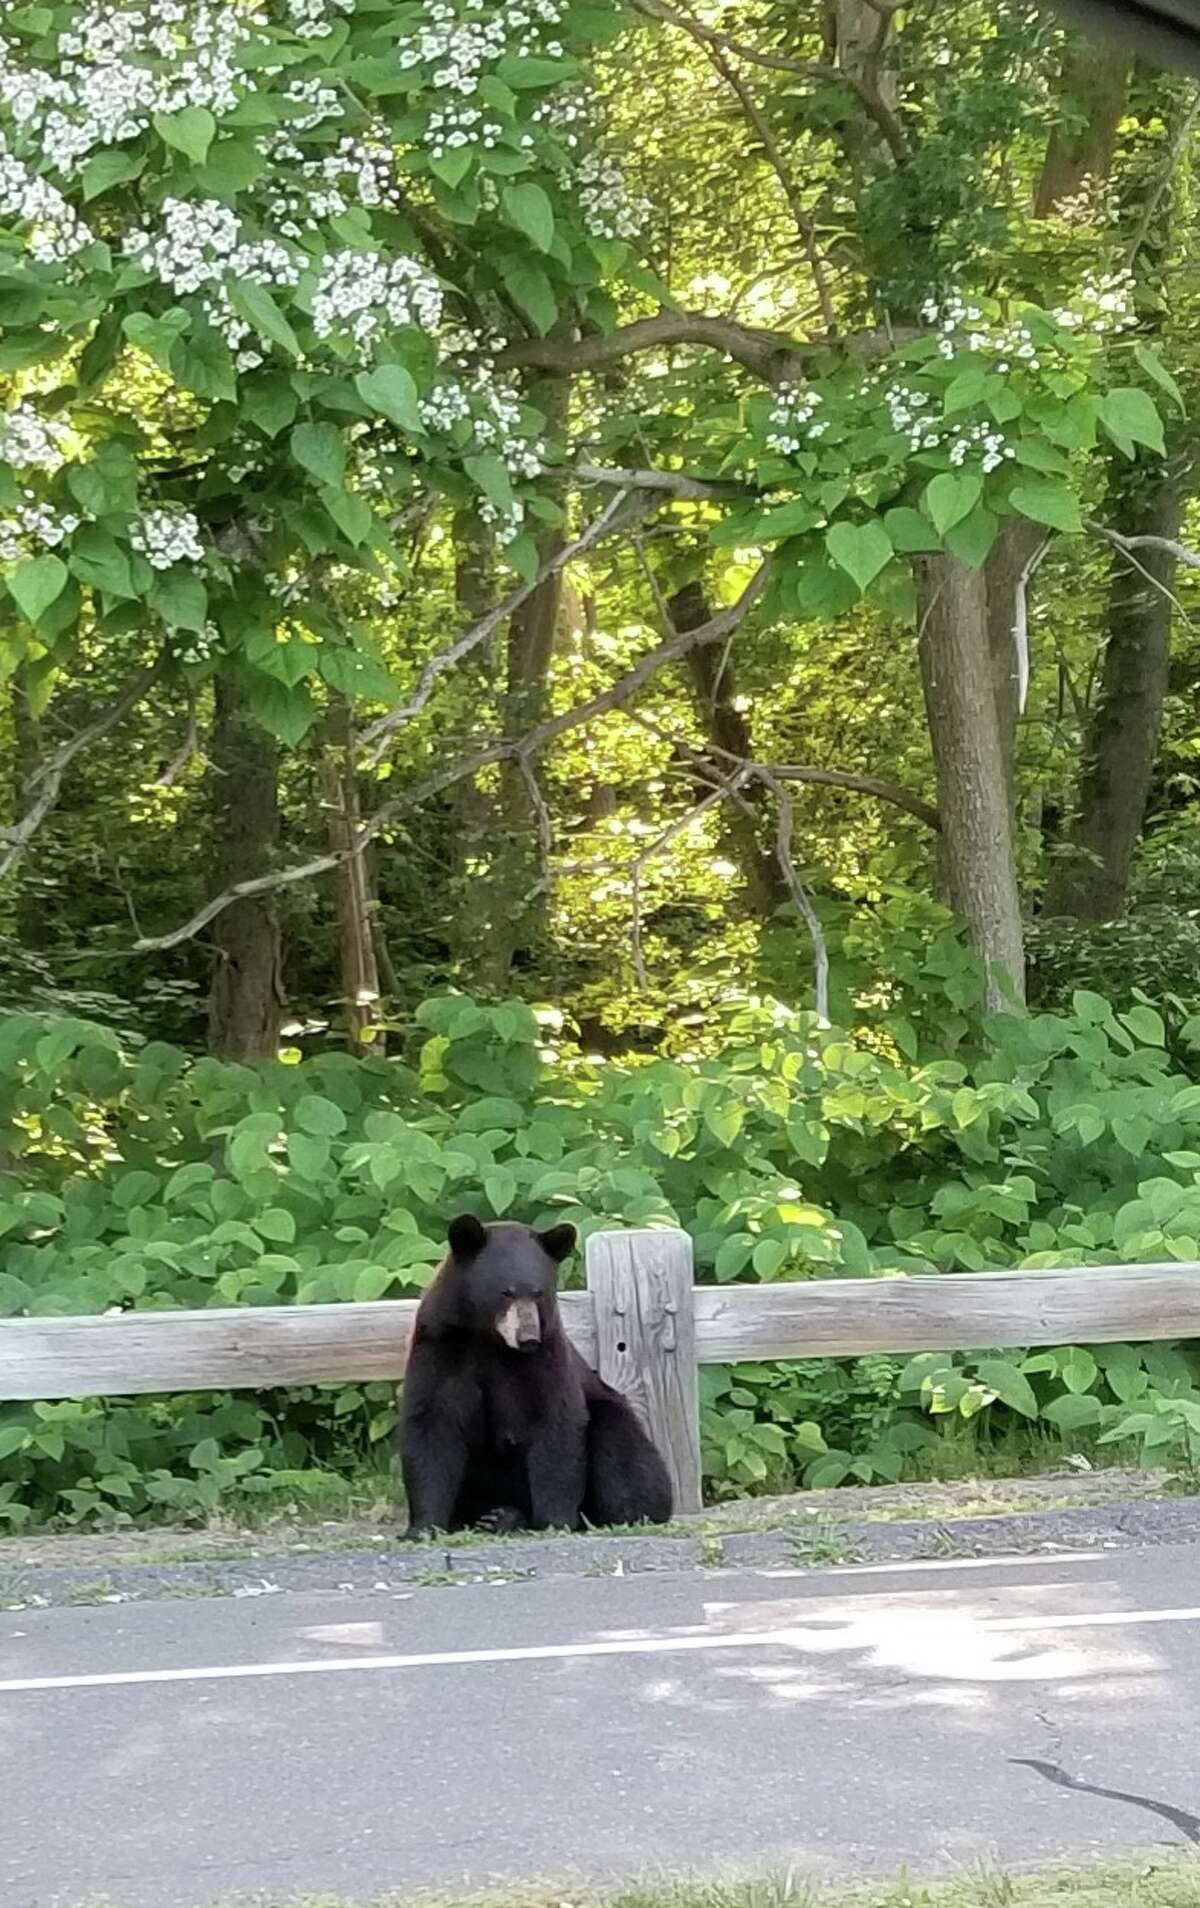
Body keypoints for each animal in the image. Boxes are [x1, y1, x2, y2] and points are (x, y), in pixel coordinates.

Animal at [398, 1221, 667, 1534]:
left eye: (539, 1293)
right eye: (506, 1292)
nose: (527, 1337)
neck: (489, 1340)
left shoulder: (546, 1356)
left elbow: (556, 1422)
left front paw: (554, 1521)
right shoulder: (439, 1346)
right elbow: (431, 1423)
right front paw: (423, 1527)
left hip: (611, 1414)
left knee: (621, 1446)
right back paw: (497, 1518)